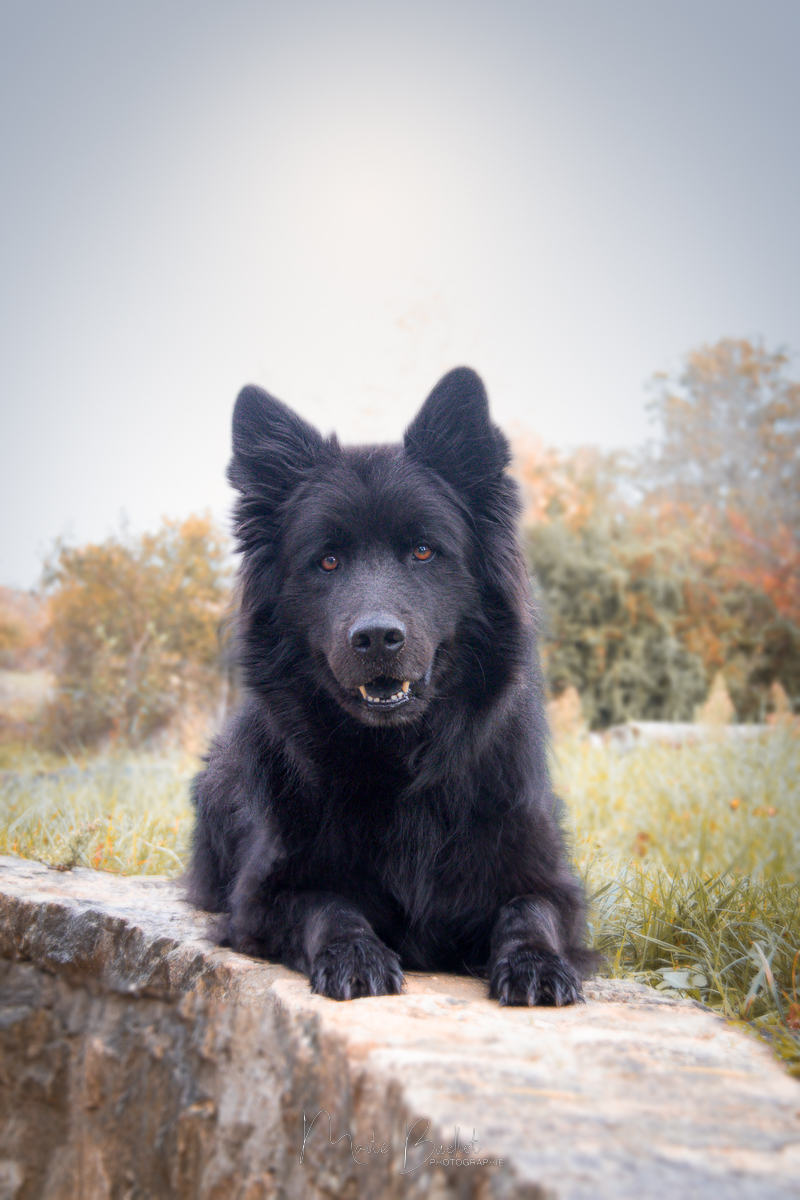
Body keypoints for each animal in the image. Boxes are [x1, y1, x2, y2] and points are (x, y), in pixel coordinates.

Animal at [184, 367, 592, 1003]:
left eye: (423, 550)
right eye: (327, 561)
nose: (377, 638)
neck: (401, 762)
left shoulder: (549, 880)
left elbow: (529, 910)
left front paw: (536, 963)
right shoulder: (262, 895)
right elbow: (328, 903)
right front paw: (356, 952)